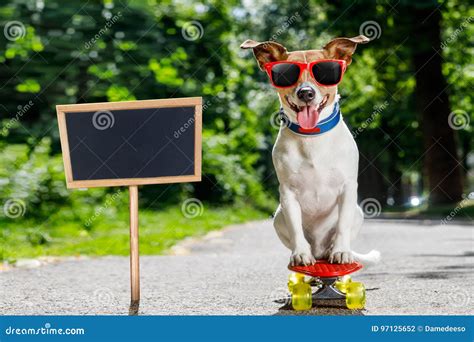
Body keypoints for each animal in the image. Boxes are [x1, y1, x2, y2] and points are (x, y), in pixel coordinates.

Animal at [243, 35, 380, 264]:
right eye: (285, 74)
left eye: (324, 72)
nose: (305, 93)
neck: (312, 136)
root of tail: (319, 249)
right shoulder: (288, 193)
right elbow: (295, 228)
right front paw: (300, 253)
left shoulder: (348, 188)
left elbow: (342, 225)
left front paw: (341, 251)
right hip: (278, 217)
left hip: (358, 212)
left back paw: (333, 249)